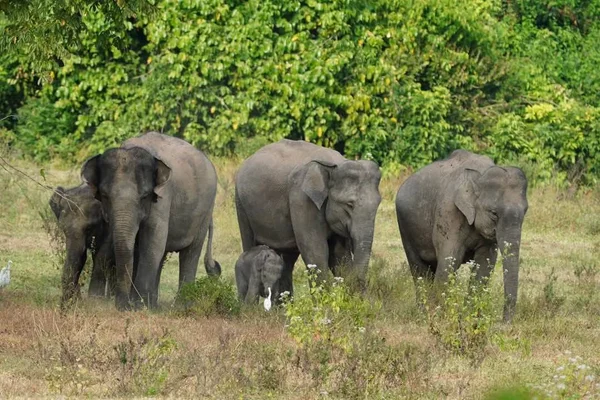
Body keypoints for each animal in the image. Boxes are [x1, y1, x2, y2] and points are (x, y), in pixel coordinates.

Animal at [80, 131, 220, 310]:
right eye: (104, 195)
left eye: (144, 196)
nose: (123, 305)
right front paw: (134, 304)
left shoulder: (163, 196)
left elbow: (152, 241)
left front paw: (138, 306)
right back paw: (153, 304)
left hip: (206, 209)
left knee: (191, 251)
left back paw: (181, 306)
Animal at [233, 138, 380, 294]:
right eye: (349, 204)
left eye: (378, 204)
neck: (334, 165)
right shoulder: (302, 199)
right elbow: (316, 251)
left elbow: (339, 254)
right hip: (241, 205)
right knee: (250, 243)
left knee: (286, 260)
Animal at [396, 150, 528, 322]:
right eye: (493, 213)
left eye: (525, 211)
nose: (505, 323)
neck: (480, 175)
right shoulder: (449, 212)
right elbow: (450, 260)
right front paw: (442, 319)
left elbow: (485, 264)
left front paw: (469, 318)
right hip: (405, 227)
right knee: (419, 270)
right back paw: (424, 314)